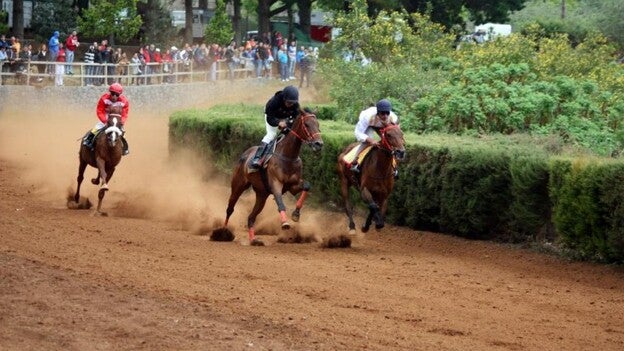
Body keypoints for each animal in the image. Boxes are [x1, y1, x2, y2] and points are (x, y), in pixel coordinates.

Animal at [219, 111, 324, 246]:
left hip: (261, 195)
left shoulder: (293, 186)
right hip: (238, 185)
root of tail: (245, 154)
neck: (288, 156)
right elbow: (279, 201)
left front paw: (296, 214)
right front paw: (285, 223)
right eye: (306, 124)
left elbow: (306, 186)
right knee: (230, 209)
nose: (319, 144)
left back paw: (253, 240)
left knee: (251, 217)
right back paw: (223, 233)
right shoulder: (275, 184)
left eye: (318, 124)